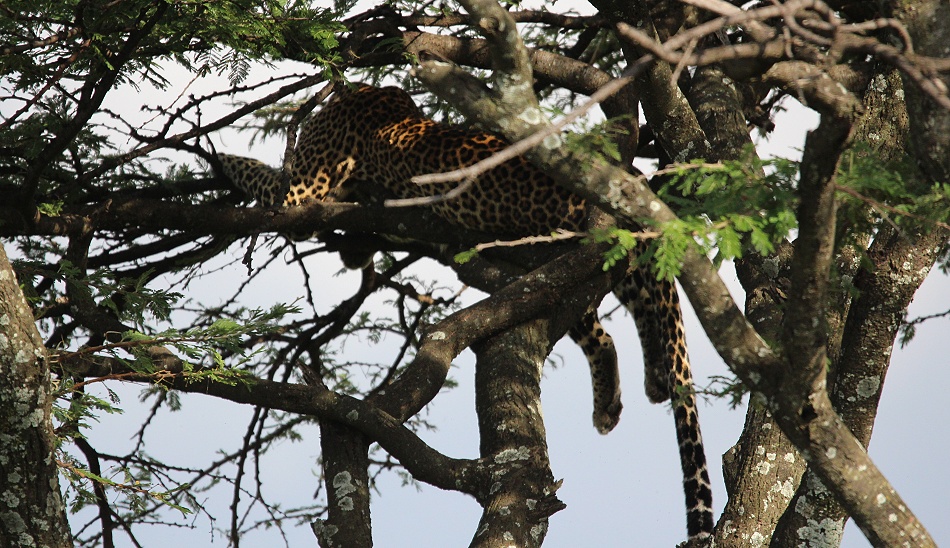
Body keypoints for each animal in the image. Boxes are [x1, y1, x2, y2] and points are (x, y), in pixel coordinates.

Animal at [217, 83, 713, 540]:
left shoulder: (300, 192)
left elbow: (260, 177)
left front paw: (218, 155)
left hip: (553, 259)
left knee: (602, 328)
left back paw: (617, 398)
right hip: (601, 258)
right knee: (634, 309)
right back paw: (648, 383)